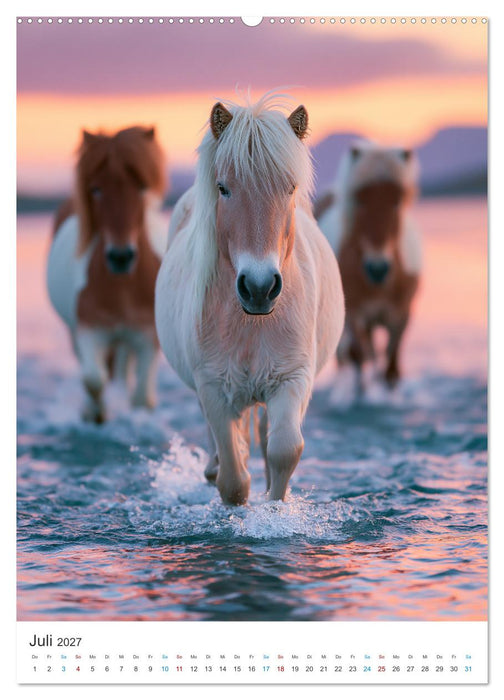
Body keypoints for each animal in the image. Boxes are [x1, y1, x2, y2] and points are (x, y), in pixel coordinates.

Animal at [47, 126, 167, 423]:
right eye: (96, 189)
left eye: (142, 187)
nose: (120, 257)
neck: (123, 287)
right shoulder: (90, 330)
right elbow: (93, 379)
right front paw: (95, 414)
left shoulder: (147, 337)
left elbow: (141, 396)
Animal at [155, 92, 344, 506]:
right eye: (223, 188)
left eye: (290, 188)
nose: (259, 287)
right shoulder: (213, 387)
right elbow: (233, 479)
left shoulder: (292, 378)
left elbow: (284, 450)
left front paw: (274, 511)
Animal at [316, 140, 421, 389]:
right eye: (361, 200)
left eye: (396, 201)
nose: (377, 269)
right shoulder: (353, 315)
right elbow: (359, 356)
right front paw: (361, 392)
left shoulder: (401, 315)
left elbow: (391, 365)